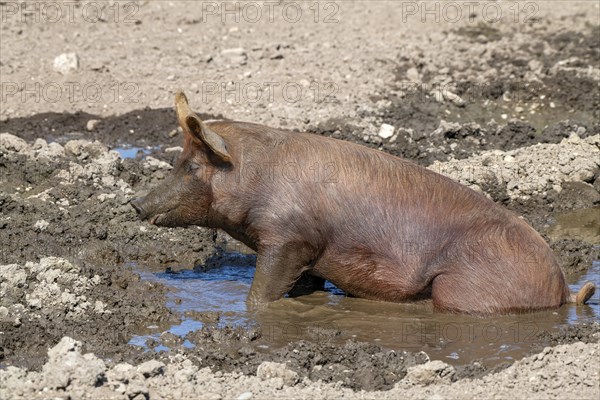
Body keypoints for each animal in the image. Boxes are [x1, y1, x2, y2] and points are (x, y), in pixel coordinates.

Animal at [129, 91, 592, 316]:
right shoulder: (308, 253)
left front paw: (255, 309)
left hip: (465, 289)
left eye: (191, 167)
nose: (135, 204)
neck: (257, 180)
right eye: (178, 162)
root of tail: (561, 289)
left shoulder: (288, 237)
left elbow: (262, 292)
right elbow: (305, 284)